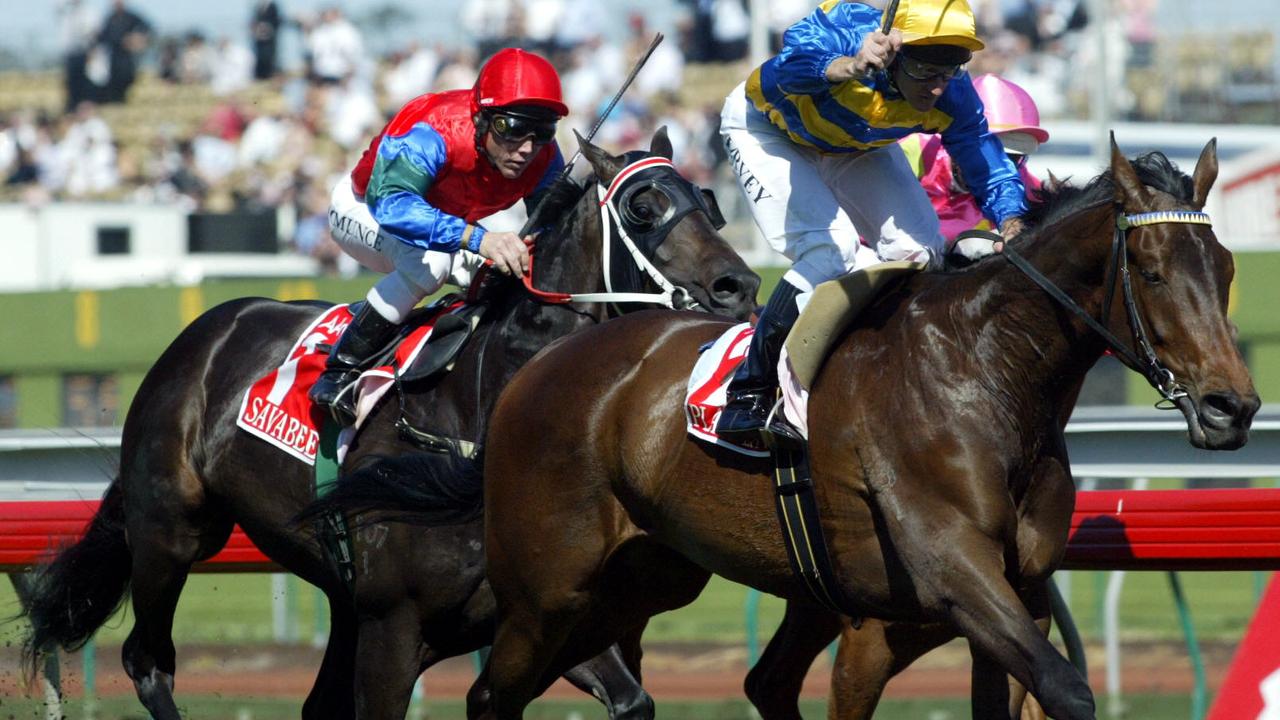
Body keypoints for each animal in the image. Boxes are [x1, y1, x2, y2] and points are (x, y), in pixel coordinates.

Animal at [20, 128, 757, 717]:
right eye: (644, 206)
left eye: (710, 202)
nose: (740, 287)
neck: (482, 416)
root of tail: (206, 329)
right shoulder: (395, 627)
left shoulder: (539, 616)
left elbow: (630, 700)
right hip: (172, 532)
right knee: (148, 661)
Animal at [468, 137, 1249, 712]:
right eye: (1150, 270)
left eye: (1227, 269)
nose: (1231, 406)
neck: (986, 372)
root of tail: (541, 363)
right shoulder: (949, 573)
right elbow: (1066, 689)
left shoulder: (1021, 591)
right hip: (547, 594)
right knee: (489, 694)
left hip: (638, 582)